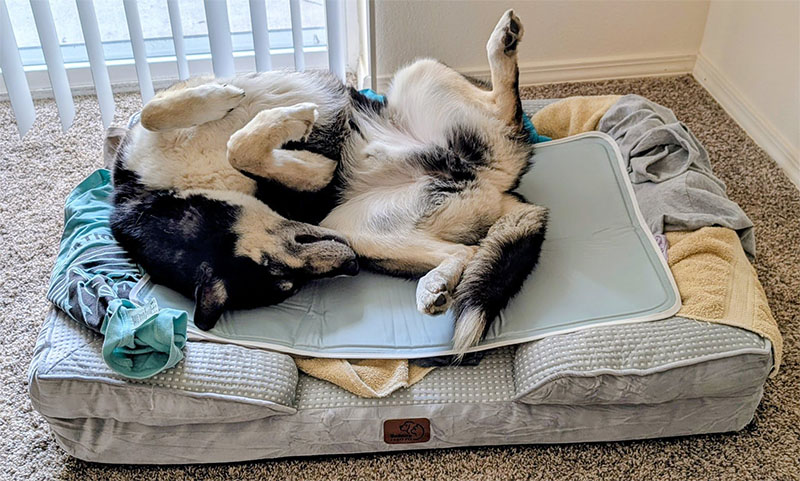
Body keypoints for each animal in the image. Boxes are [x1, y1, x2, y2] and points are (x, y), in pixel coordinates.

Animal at [110, 9, 547, 355]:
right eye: (286, 285)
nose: (351, 267)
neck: (182, 187)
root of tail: (504, 190)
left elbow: (156, 112)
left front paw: (240, 105)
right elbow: (244, 149)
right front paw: (311, 163)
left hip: (418, 75)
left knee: (506, 107)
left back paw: (503, 42)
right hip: (357, 228)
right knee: (465, 253)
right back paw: (434, 286)